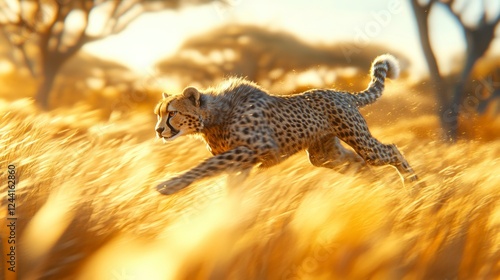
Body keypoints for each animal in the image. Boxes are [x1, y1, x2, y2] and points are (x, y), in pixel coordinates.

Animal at [155, 54, 418, 195]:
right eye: (158, 114)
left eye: (172, 113)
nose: (158, 130)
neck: (213, 116)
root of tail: (341, 93)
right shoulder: (242, 163)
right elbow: (228, 183)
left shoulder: (258, 149)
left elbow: (206, 165)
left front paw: (170, 184)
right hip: (324, 155)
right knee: (358, 164)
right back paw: (381, 190)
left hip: (358, 140)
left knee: (389, 151)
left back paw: (414, 186)